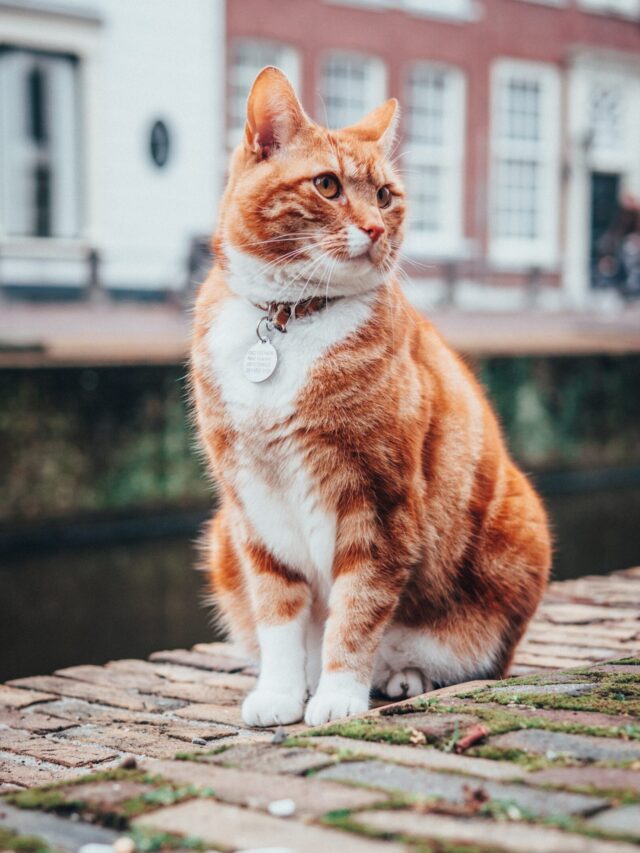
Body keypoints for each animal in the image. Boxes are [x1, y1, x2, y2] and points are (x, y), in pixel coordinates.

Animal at [190, 66, 552, 724]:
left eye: (385, 195)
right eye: (327, 185)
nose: (377, 227)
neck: (289, 318)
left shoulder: (377, 503)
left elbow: (356, 614)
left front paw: (337, 697)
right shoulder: (254, 505)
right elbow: (279, 613)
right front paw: (281, 694)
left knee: (436, 656)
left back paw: (401, 677)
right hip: (222, 539)